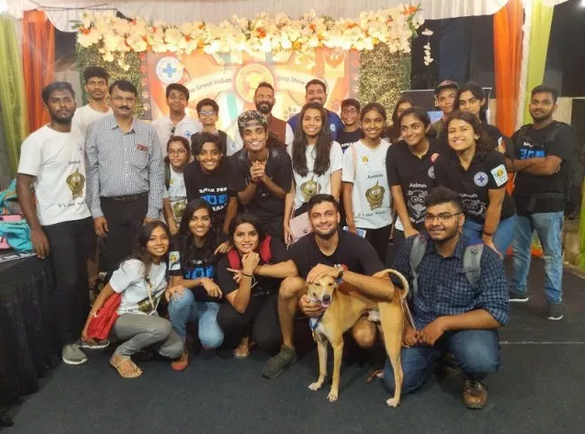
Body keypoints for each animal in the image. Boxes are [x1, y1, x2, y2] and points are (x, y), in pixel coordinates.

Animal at [306, 270, 409, 407]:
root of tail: (396, 294)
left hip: (392, 342)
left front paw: (333, 393)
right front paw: (318, 384)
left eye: (331, 284)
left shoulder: (338, 346)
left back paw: (395, 400)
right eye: (317, 284)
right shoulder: (321, 344)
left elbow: (335, 374)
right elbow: (322, 369)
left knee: (400, 374)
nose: (326, 298)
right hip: (386, 339)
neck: (323, 312)